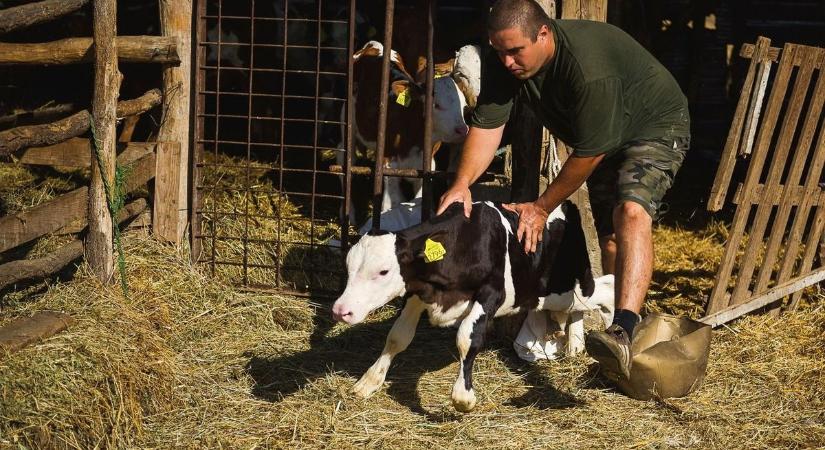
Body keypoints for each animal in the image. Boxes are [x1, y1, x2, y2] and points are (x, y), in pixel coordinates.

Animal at [332, 200, 616, 412]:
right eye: (347, 266)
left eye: (383, 271)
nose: (340, 310)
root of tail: (567, 206)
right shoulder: (419, 292)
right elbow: (397, 336)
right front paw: (369, 381)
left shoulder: (491, 294)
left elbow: (467, 337)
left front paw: (463, 396)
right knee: (578, 308)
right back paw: (575, 346)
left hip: (568, 286)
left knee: (609, 286)